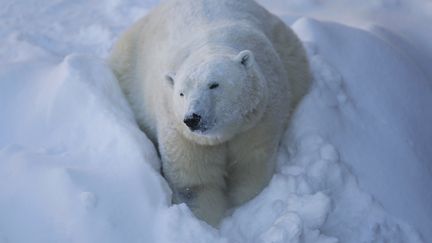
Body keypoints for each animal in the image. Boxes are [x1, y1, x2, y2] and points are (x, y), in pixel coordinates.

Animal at [108, 0, 310, 226]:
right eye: (181, 93)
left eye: (214, 85)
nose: (193, 119)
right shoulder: (183, 134)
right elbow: (195, 183)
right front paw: (206, 220)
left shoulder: (258, 119)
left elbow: (251, 164)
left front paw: (241, 202)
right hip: (128, 66)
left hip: (288, 50)